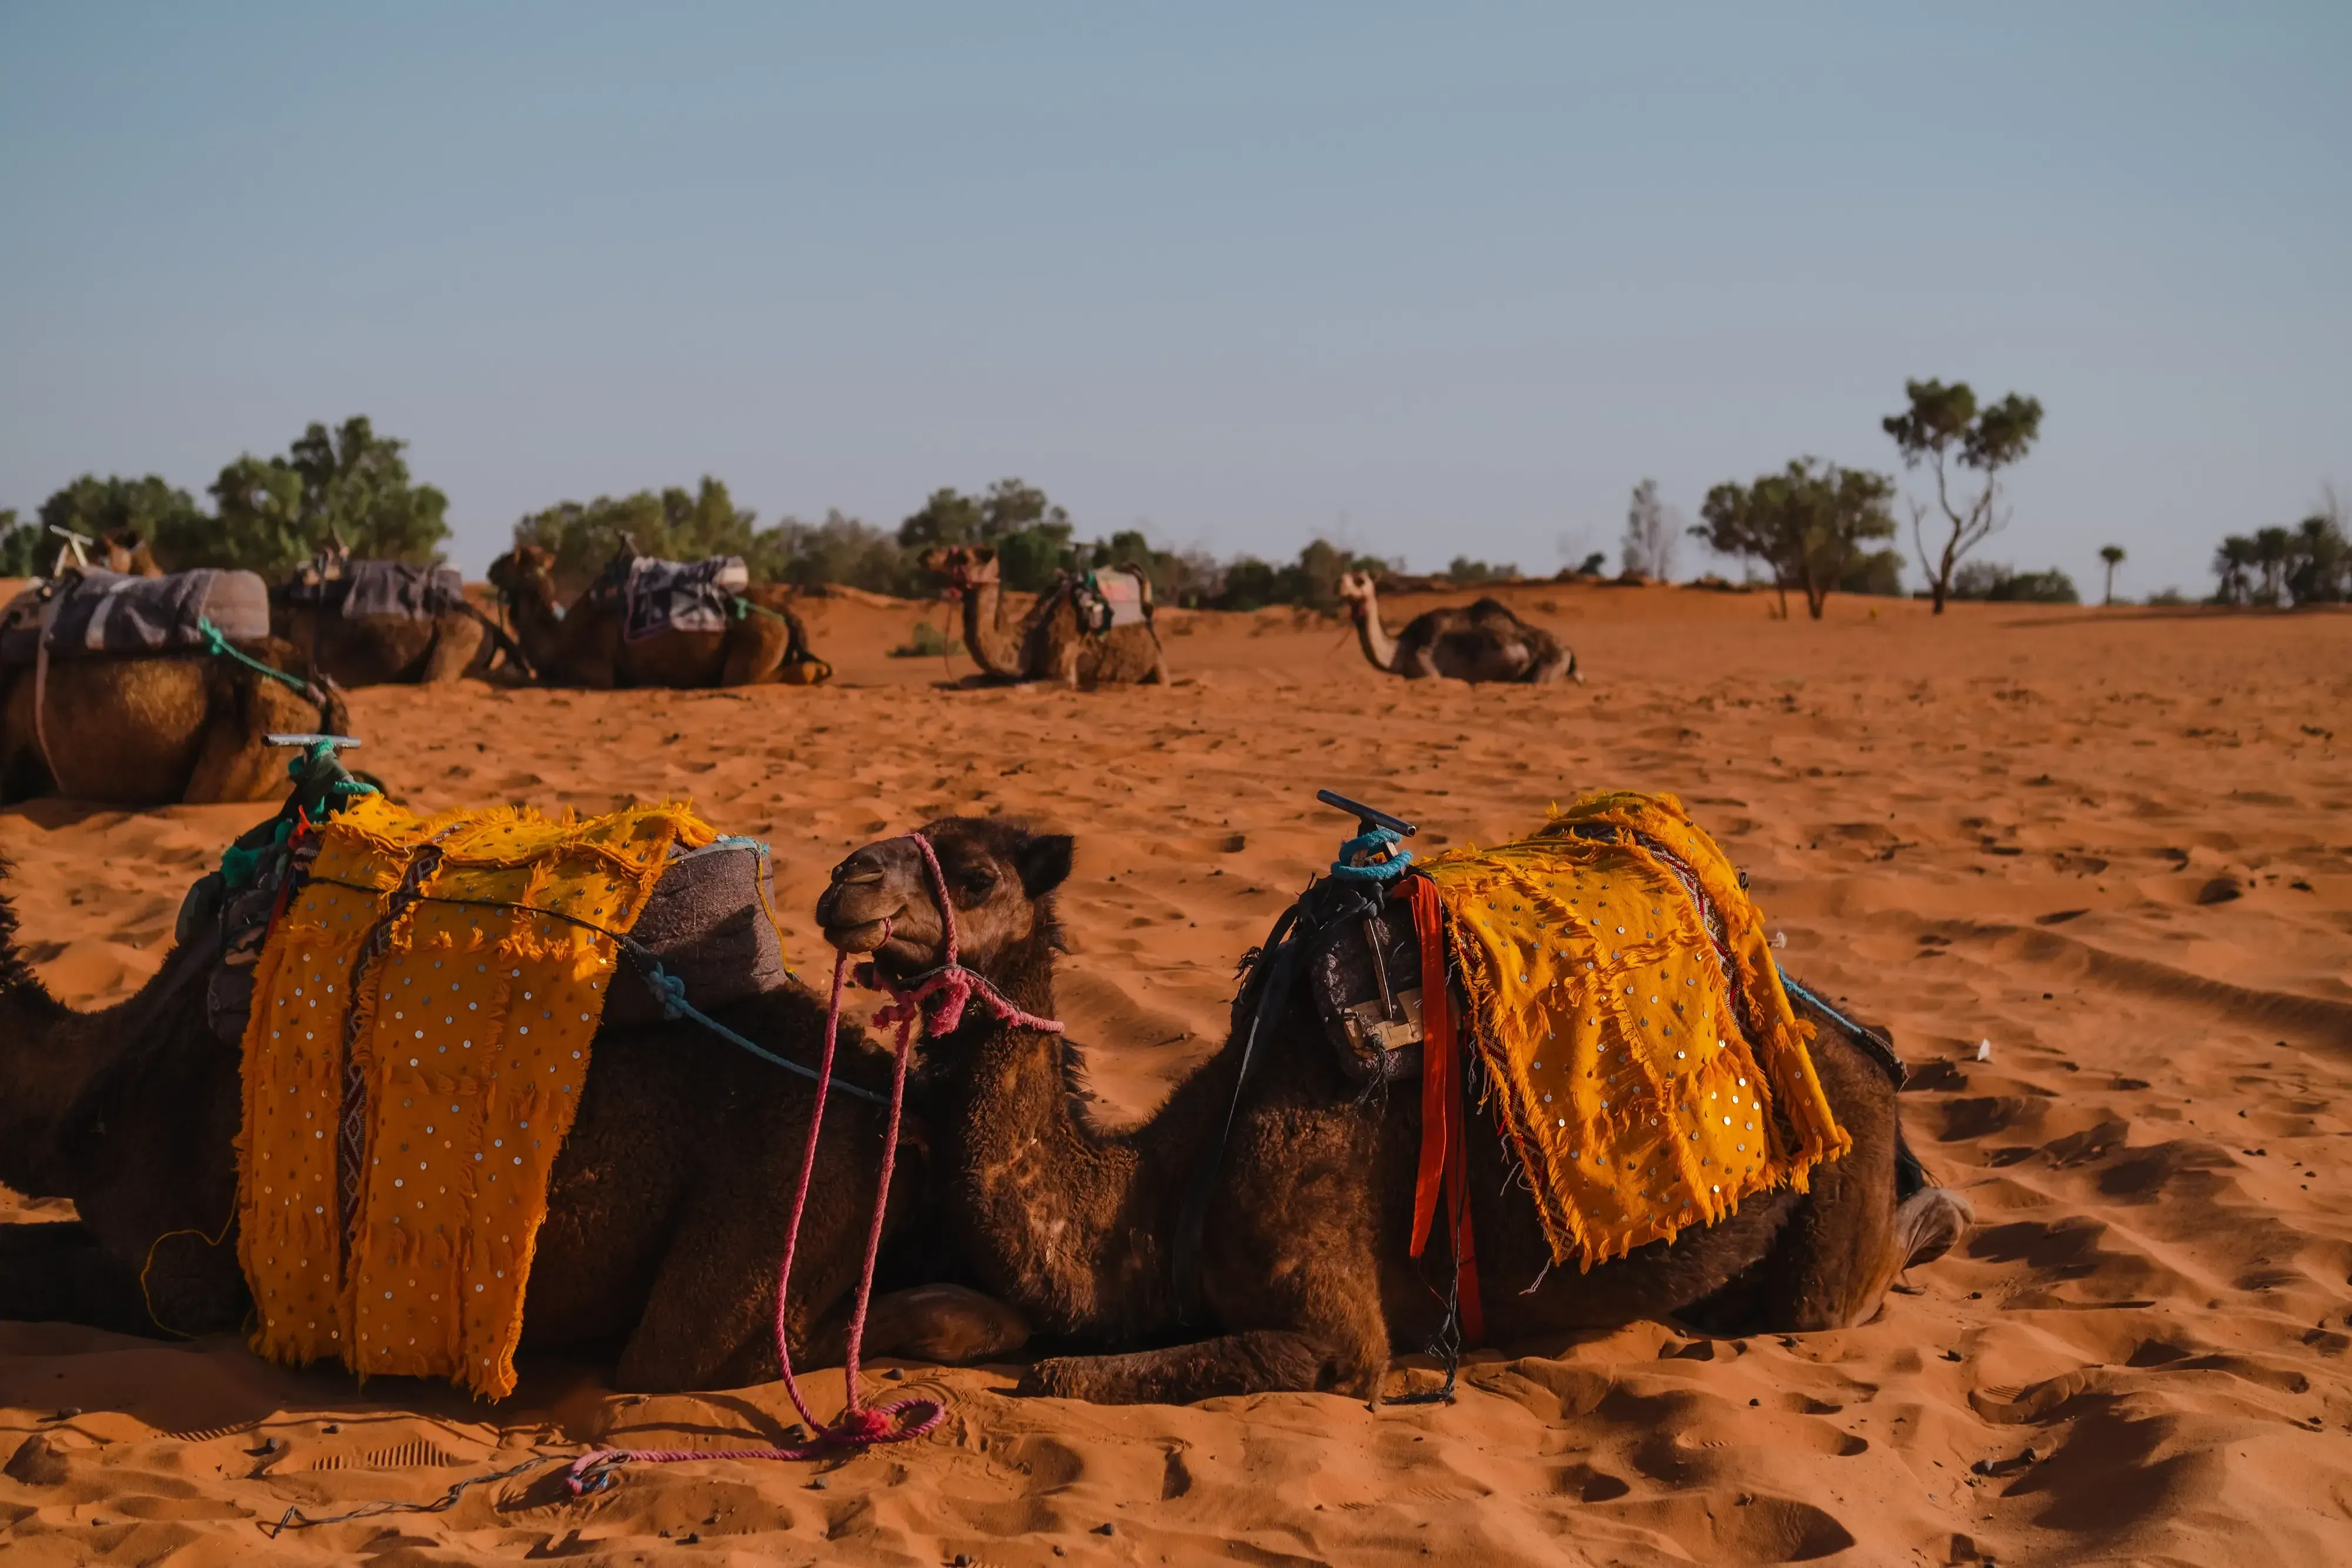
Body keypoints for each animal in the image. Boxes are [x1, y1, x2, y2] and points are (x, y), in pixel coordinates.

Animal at [487, 544, 829, 690]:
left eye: (510, 558)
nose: (491, 567)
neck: (561, 635)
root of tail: (783, 613)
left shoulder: (596, 671)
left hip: (757, 643)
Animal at [817, 817, 1971, 1405]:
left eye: (974, 873)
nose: (845, 879)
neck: (1154, 1196)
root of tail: (1854, 1040)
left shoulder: (1336, 1331)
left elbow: (1057, 1370)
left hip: (1841, 1160)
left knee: (1839, 1286)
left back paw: (1942, 1210)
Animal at [921, 545, 1168, 688]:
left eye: (964, 558)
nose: (926, 555)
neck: (1027, 637)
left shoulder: (1063, 675)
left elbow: (1024, 686)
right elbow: (967, 681)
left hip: (1157, 663)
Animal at [1335, 571, 1579, 683]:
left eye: (1360, 580)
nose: (1340, 585)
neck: (1400, 650)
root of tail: (1569, 650)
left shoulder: (1429, 671)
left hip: (1550, 665)